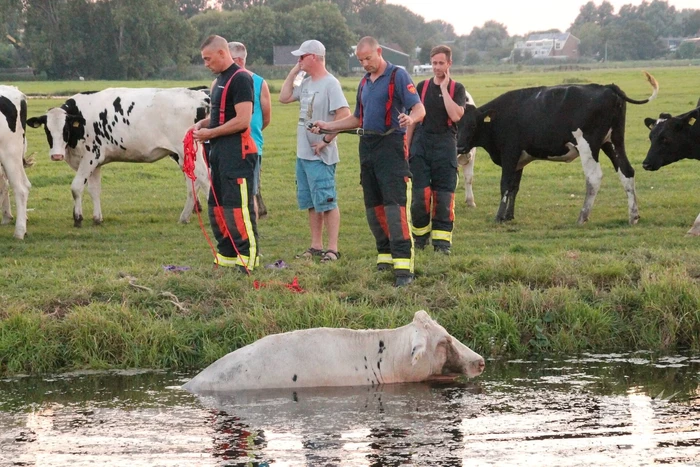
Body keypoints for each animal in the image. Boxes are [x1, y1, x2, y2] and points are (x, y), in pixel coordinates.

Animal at [26, 88, 210, 227]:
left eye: (66, 129)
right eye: (47, 130)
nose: (56, 155)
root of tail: (199, 96)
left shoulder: (90, 157)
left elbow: (76, 187)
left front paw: (78, 218)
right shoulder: (95, 163)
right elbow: (94, 190)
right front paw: (97, 218)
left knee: (204, 178)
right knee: (193, 184)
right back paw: (185, 217)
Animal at [456, 72, 659, 225]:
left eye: (473, 125)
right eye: (455, 124)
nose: (460, 146)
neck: (500, 117)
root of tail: (608, 87)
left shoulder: (510, 154)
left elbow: (505, 185)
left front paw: (499, 217)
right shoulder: (520, 159)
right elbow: (514, 187)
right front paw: (508, 216)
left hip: (588, 145)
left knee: (594, 177)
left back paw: (583, 216)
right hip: (612, 142)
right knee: (626, 171)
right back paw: (633, 216)